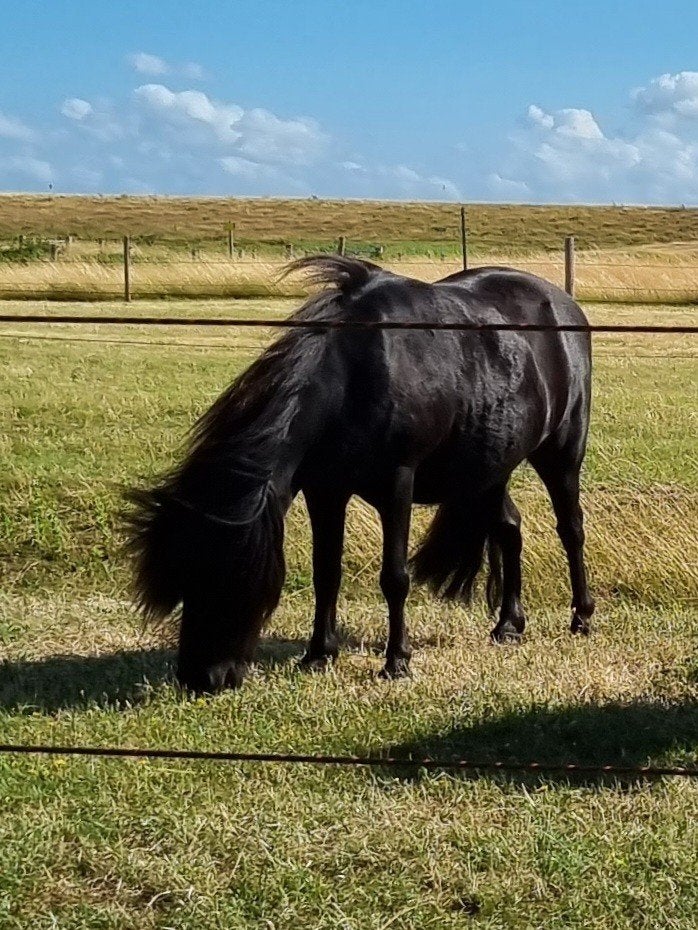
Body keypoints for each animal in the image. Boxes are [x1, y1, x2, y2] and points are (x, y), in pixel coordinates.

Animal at [126, 256, 595, 692]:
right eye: (185, 582)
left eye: (226, 580)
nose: (200, 678)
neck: (356, 373)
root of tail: (564, 304)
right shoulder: (325, 490)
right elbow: (326, 572)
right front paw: (318, 654)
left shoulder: (397, 482)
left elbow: (394, 577)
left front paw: (396, 662)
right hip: (490, 465)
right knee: (509, 528)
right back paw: (509, 625)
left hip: (561, 452)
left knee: (570, 528)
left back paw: (582, 618)